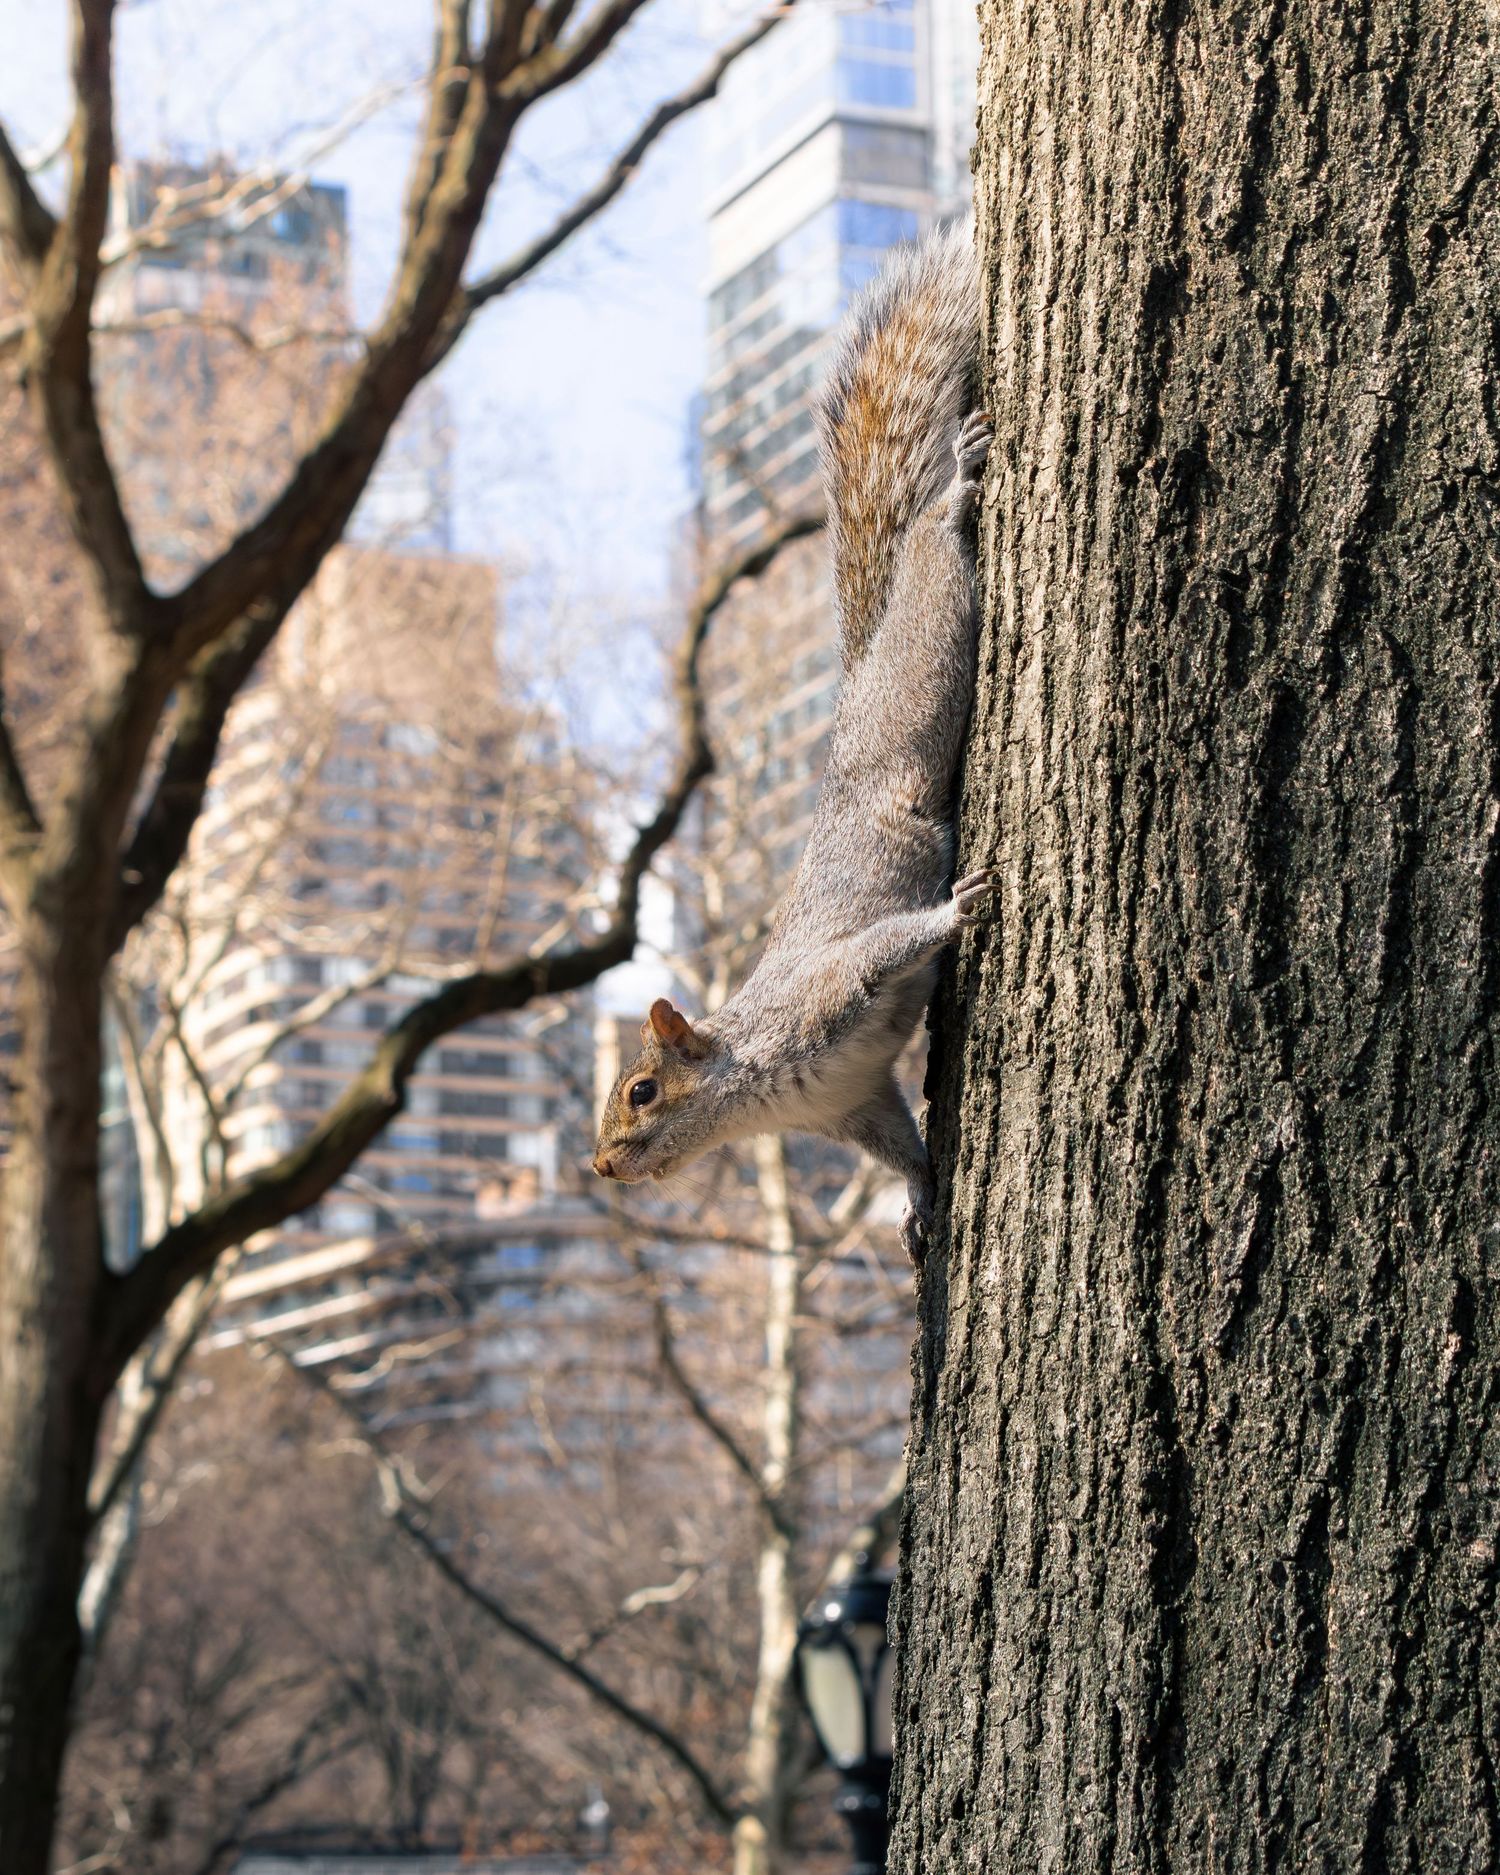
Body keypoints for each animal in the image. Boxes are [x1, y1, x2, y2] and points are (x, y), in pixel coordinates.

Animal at [593, 222, 992, 1260]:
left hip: (921, 670)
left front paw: (957, 910)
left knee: (934, 554)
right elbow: (901, 1145)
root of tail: (853, 687)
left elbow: (893, 938)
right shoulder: (854, 1105)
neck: (755, 1091)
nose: (601, 1166)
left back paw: (957, 492)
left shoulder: (829, 991)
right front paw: (919, 1202)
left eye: (641, 1091)